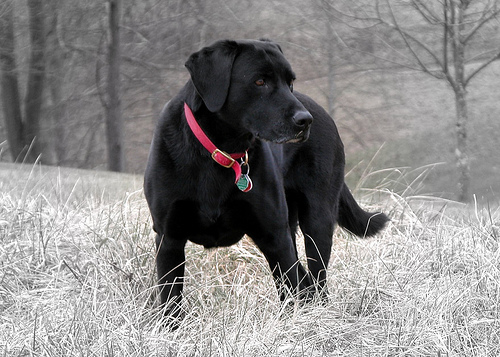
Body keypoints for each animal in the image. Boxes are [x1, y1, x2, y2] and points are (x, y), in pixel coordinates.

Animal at [143, 39, 388, 320]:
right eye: (260, 81)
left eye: (290, 82)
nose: (305, 120)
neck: (220, 152)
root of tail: (323, 112)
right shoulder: (168, 237)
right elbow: (170, 302)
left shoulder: (274, 235)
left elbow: (289, 290)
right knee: (306, 281)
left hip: (316, 220)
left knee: (316, 280)